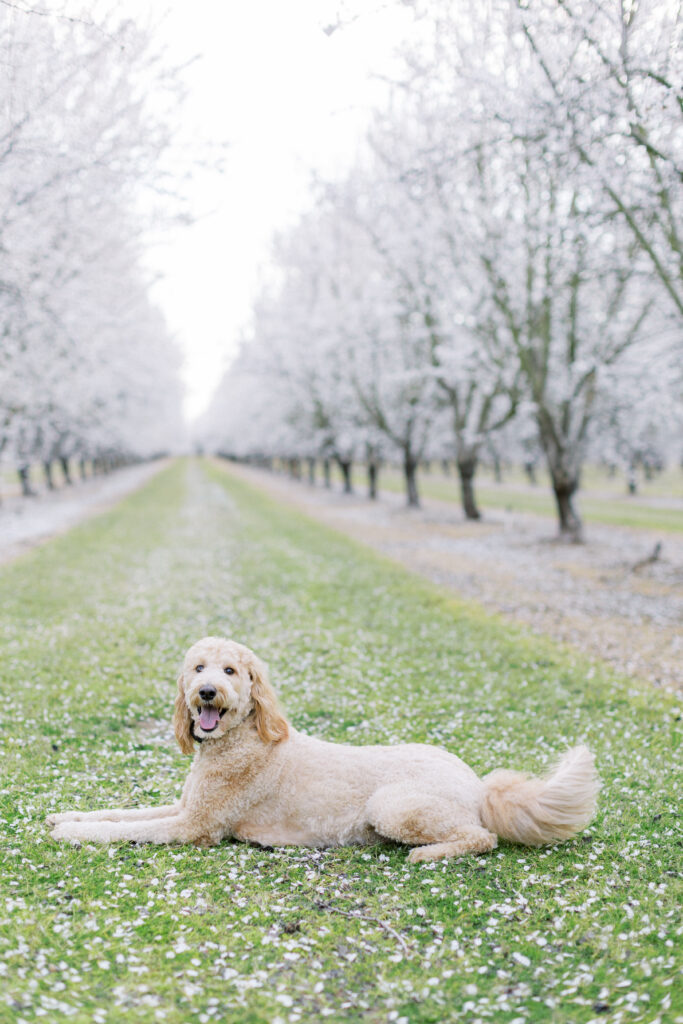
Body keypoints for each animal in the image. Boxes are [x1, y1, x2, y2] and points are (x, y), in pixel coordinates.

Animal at [48, 634, 602, 860]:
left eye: (230, 671)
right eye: (198, 668)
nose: (206, 692)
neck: (240, 741)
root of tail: (477, 784)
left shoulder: (194, 827)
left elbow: (127, 829)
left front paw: (71, 834)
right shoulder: (185, 807)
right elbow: (120, 813)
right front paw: (66, 817)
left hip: (392, 805)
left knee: (481, 838)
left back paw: (428, 854)